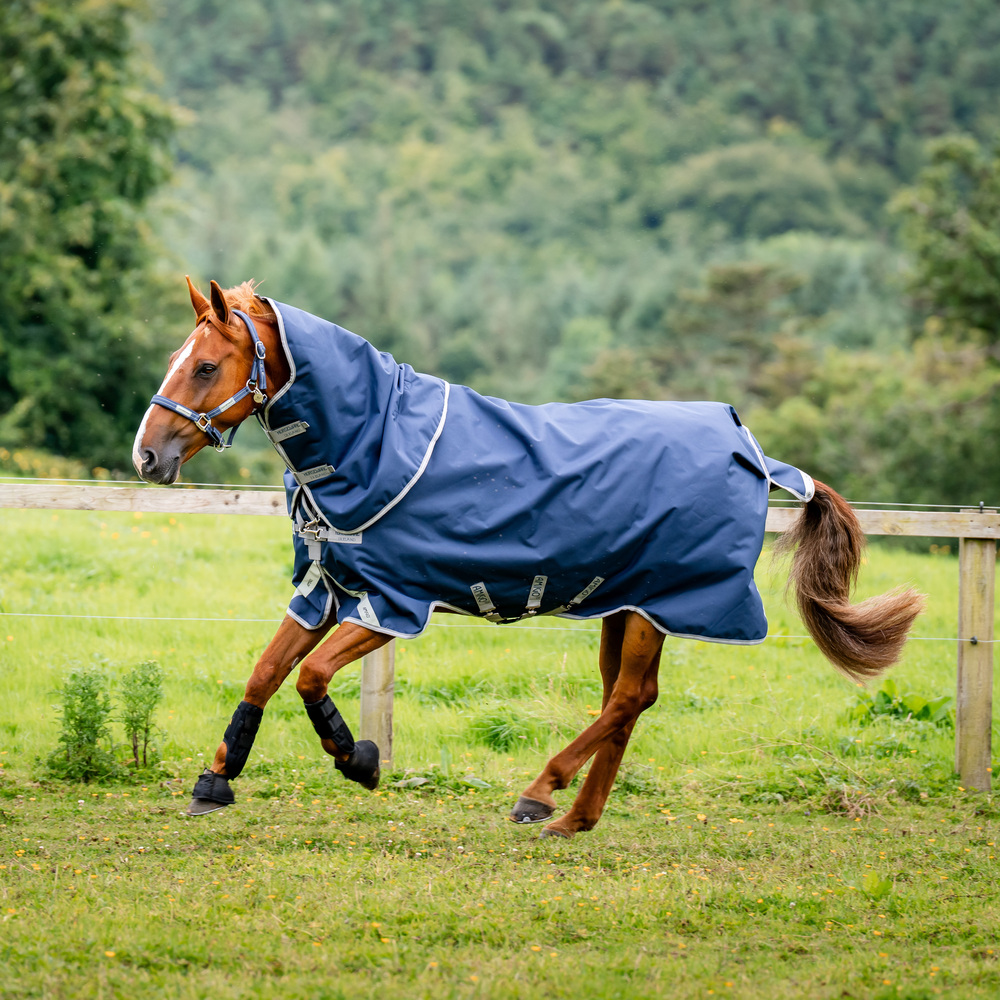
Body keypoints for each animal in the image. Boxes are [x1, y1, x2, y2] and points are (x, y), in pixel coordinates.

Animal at [133, 277, 924, 839]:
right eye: (175, 360)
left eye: (205, 366)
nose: (147, 456)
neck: (375, 444)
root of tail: (751, 448)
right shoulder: (329, 588)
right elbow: (266, 672)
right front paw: (216, 781)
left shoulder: (393, 602)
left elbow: (311, 677)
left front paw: (358, 760)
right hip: (627, 602)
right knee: (629, 699)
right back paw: (576, 818)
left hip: (658, 604)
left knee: (627, 698)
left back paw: (541, 794)